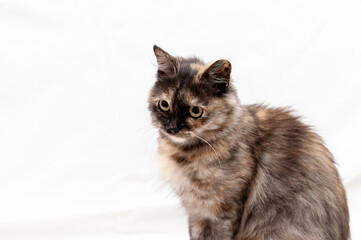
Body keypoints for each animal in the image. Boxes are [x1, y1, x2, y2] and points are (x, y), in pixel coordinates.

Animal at [147, 45, 348, 240]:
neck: (186, 154)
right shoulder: (196, 211)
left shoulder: (221, 210)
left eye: (195, 111)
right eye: (164, 105)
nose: (172, 128)